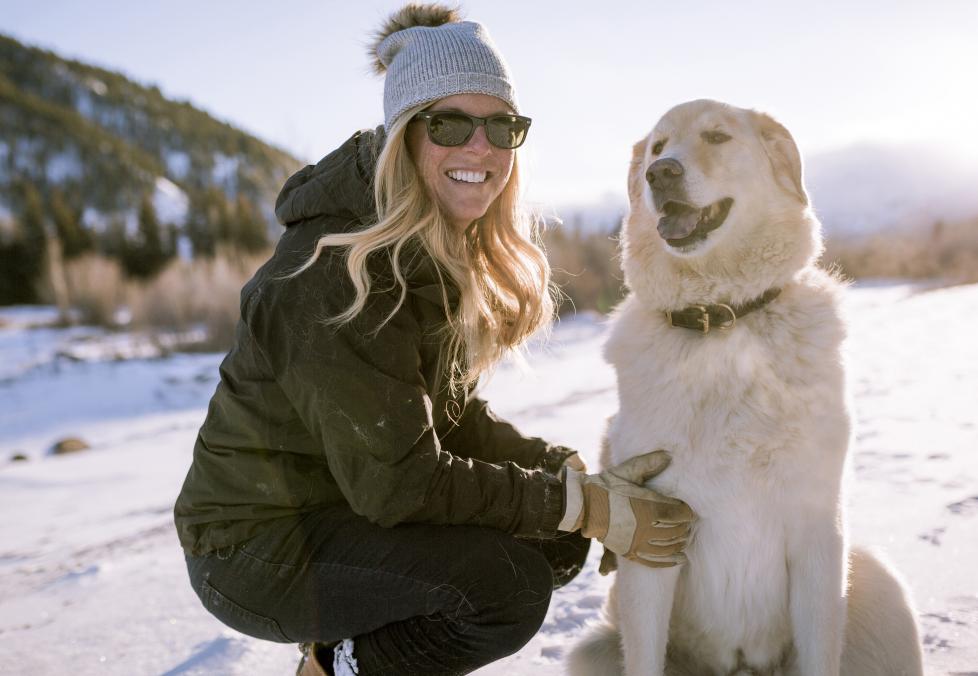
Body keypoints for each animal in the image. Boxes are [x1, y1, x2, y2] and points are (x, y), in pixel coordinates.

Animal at [568, 100, 920, 676]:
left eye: (717, 136)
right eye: (658, 146)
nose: (660, 173)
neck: (721, 316)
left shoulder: (817, 531)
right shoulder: (651, 542)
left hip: (881, 583)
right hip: (590, 649)